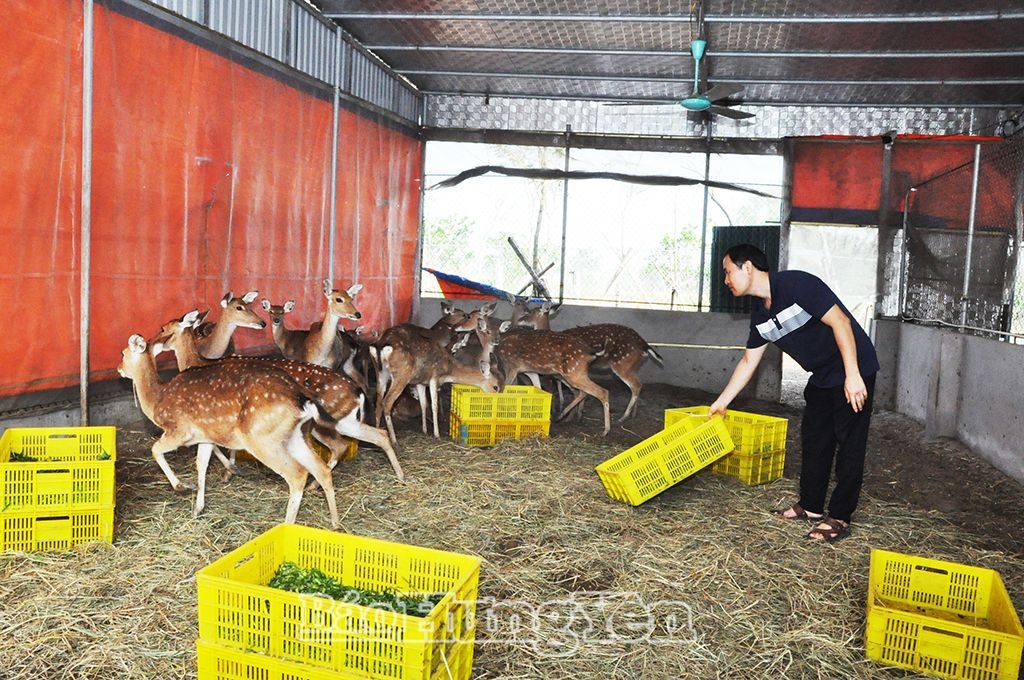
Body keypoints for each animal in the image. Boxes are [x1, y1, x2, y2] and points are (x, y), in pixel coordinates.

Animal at [116, 333, 339, 524]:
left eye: (123, 353)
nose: (119, 369)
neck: (156, 400)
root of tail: (302, 398)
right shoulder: (204, 435)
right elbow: (201, 464)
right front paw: (198, 508)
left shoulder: (179, 430)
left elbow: (155, 450)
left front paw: (182, 487)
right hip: (293, 436)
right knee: (321, 469)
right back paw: (335, 523)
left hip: (261, 438)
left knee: (298, 474)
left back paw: (287, 524)